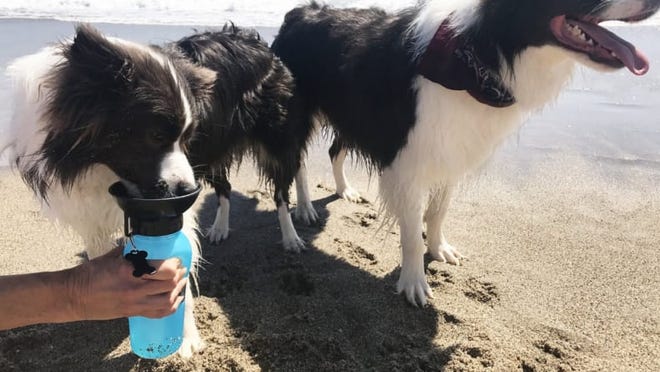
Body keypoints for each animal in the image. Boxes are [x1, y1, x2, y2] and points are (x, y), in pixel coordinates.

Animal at [0, 24, 314, 358]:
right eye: (155, 136)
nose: (190, 189)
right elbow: (100, 253)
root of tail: (255, 41)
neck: (101, 167)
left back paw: (292, 234)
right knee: (227, 188)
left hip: (276, 139)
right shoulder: (89, 212)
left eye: (187, 137)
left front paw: (186, 340)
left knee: (283, 187)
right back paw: (220, 227)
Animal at [270, 0, 656, 306]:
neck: (482, 54)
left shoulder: (453, 149)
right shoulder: (407, 161)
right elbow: (411, 233)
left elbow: (439, 211)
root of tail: (298, 11)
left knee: (333, 150)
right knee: (296, 166)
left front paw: (439, 249)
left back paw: (343, 190)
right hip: (298, 115)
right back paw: (301, 213)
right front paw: (414, 283)